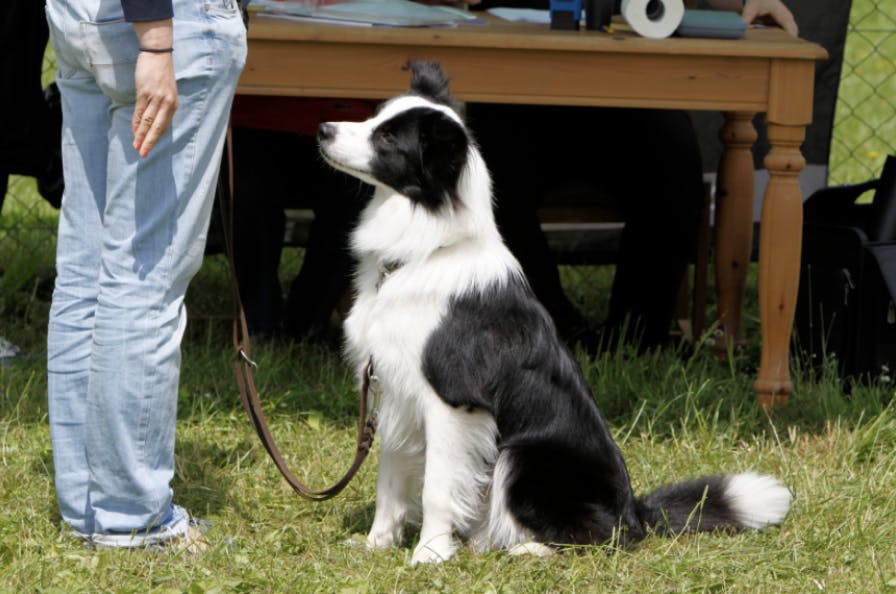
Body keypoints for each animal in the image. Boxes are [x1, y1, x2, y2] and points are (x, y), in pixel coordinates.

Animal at [316, 61, 792, 564]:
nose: (323, 129)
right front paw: (376, 545)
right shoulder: (392, 393)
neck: (423, 253)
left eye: (388, 138)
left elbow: (436, 489)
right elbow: (389, 483)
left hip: (523, 456)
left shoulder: (452, 400)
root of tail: (636, 511)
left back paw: (529, 549)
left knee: (603, 535)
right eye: (375, 117)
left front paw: (429, 554)